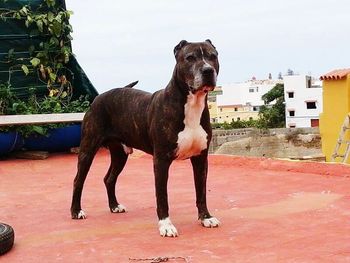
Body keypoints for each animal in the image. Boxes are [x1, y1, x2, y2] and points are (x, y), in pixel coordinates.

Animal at [69, 40, 220, 238]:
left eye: (213, 56)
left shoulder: (201, 158)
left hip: (120, 154)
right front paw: (166, 225)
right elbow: (162, 196)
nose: (208, 70)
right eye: (190, 57)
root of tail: (99, 97)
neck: (192, 104)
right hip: (88, 148)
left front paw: (205, 217)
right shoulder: (161, 160)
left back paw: (114, 206)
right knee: (78, 180)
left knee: (109, 178)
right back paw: (76, 211)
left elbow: (201, 191)